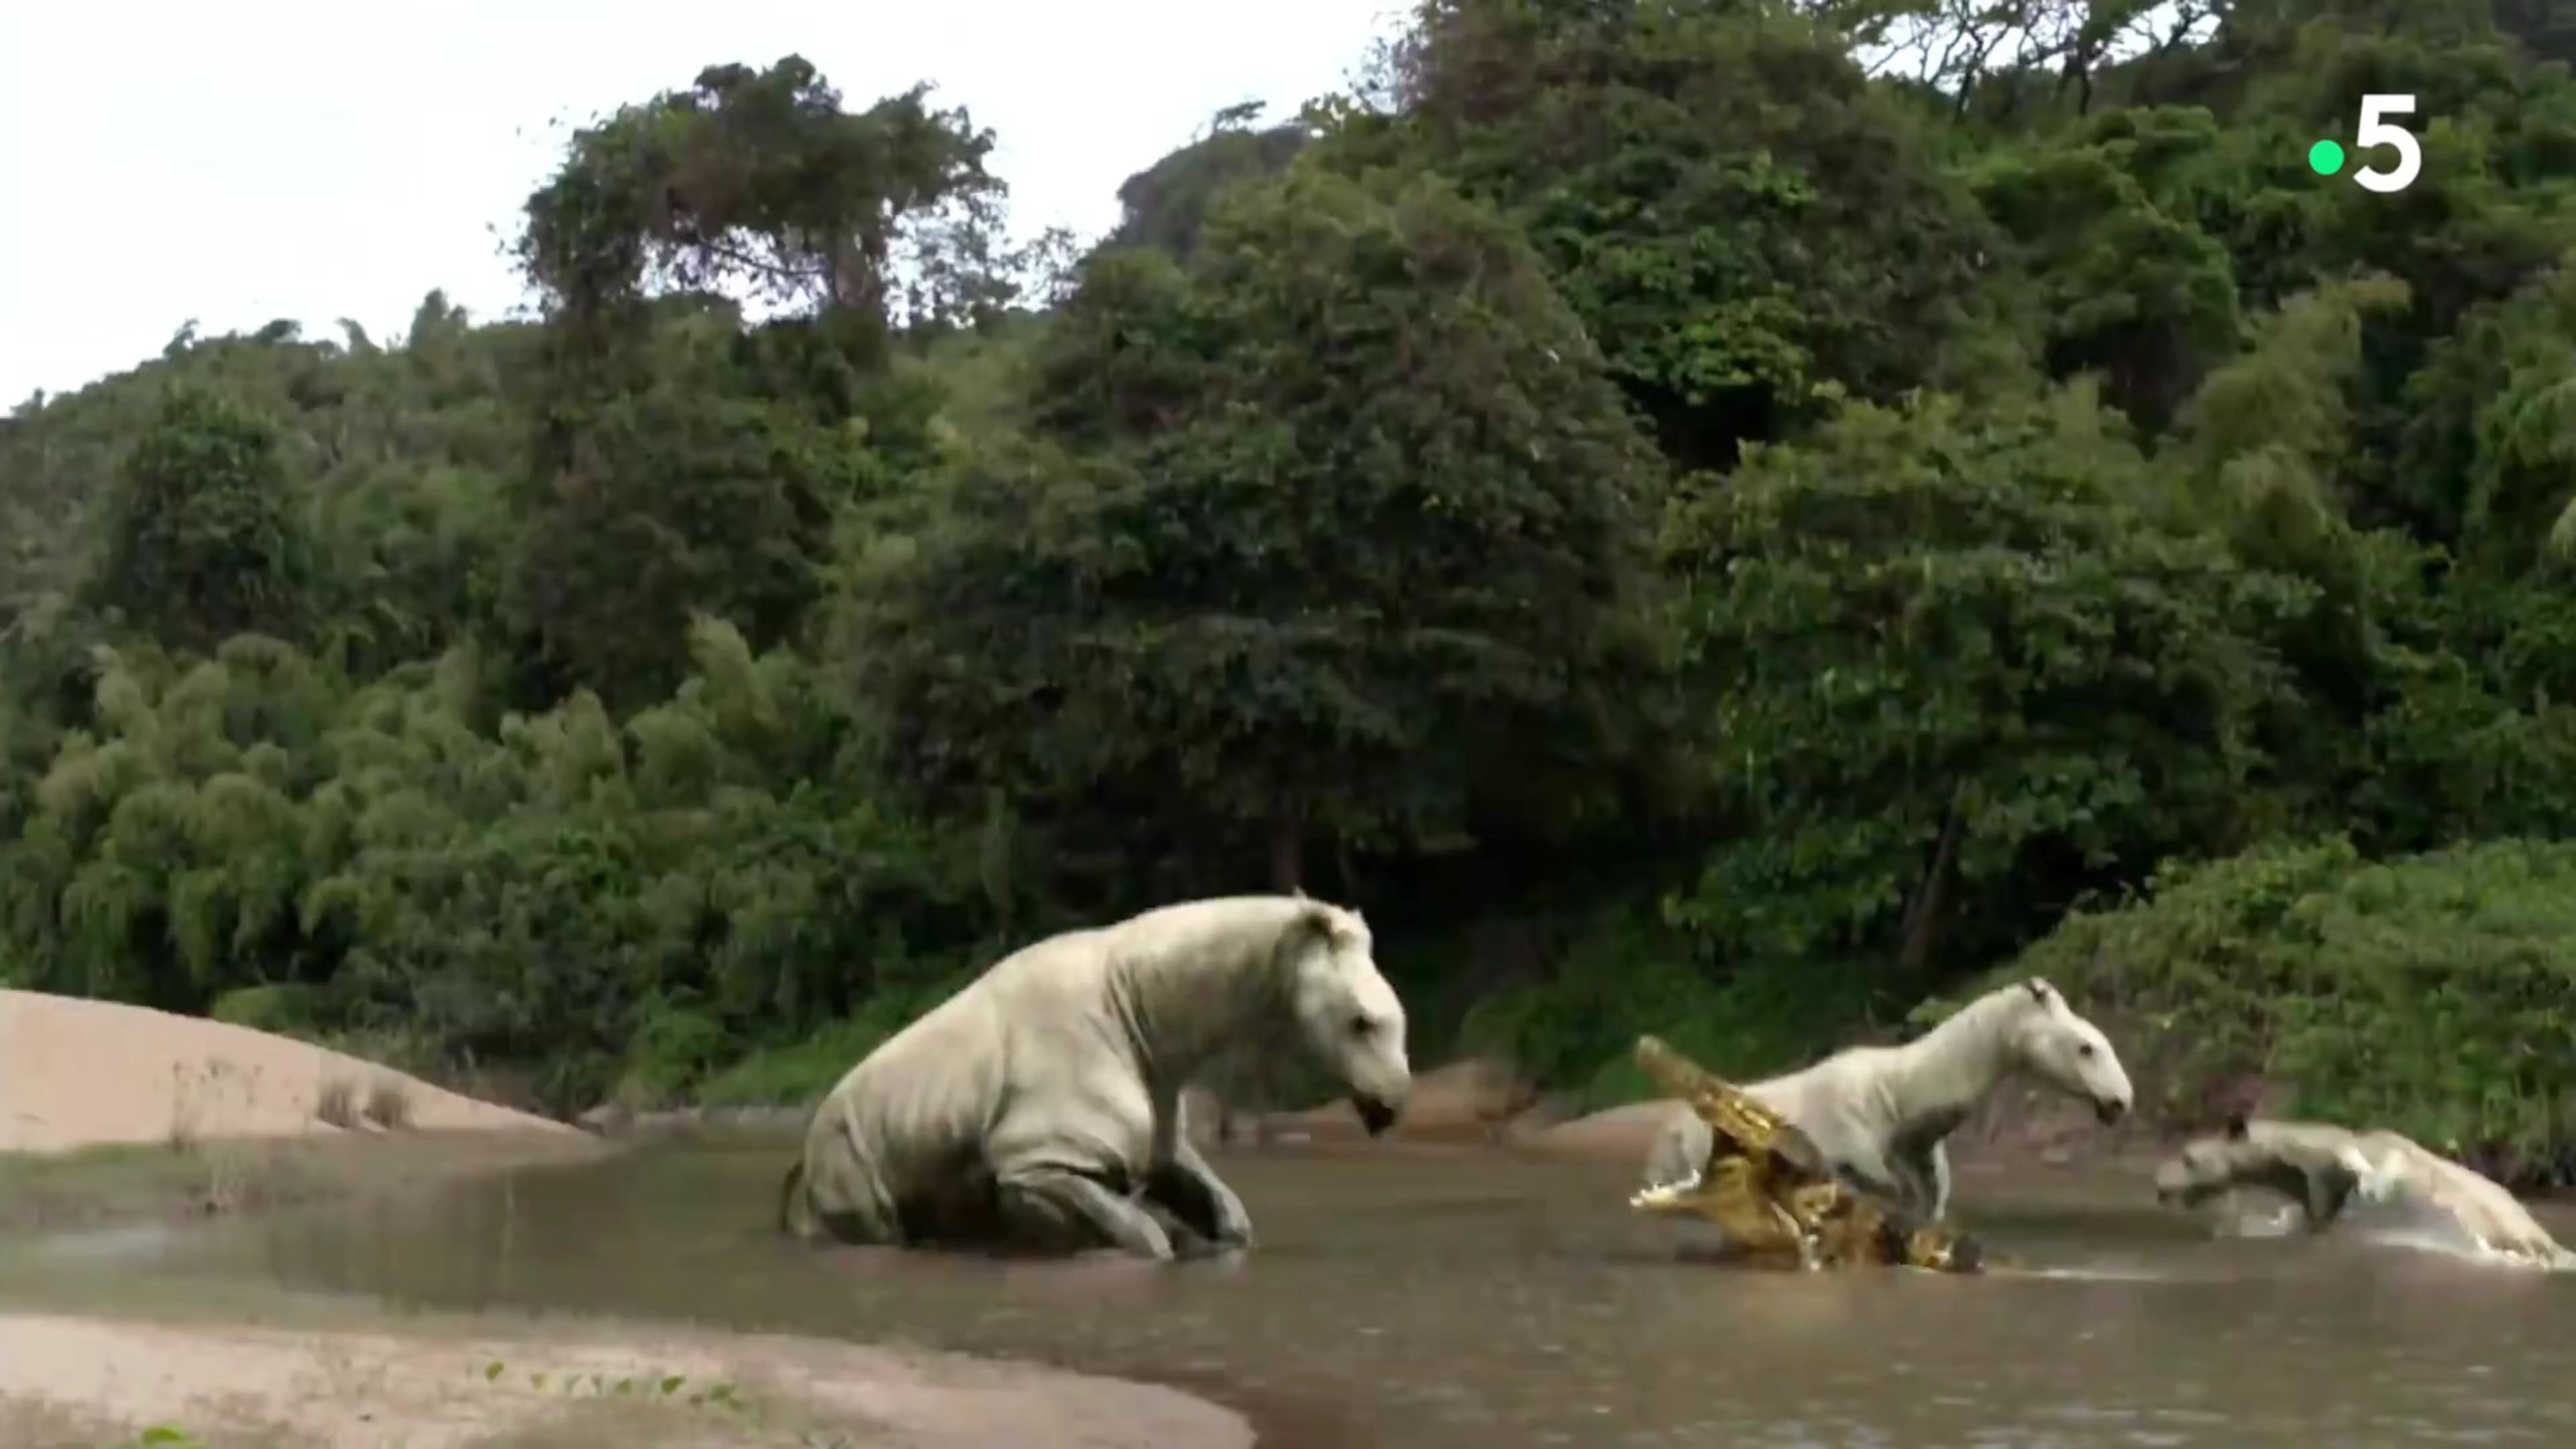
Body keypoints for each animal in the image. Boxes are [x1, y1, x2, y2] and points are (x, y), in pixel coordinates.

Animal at [773, 887, 1421, 1258]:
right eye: (1361, 1023)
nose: (1393, 1107)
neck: (1146, 1009)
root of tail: (802, 1154)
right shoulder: (1037, 1161)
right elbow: (1144, 1239)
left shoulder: (1159, 1139)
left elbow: (1227, 1216)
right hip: (844, 1150)